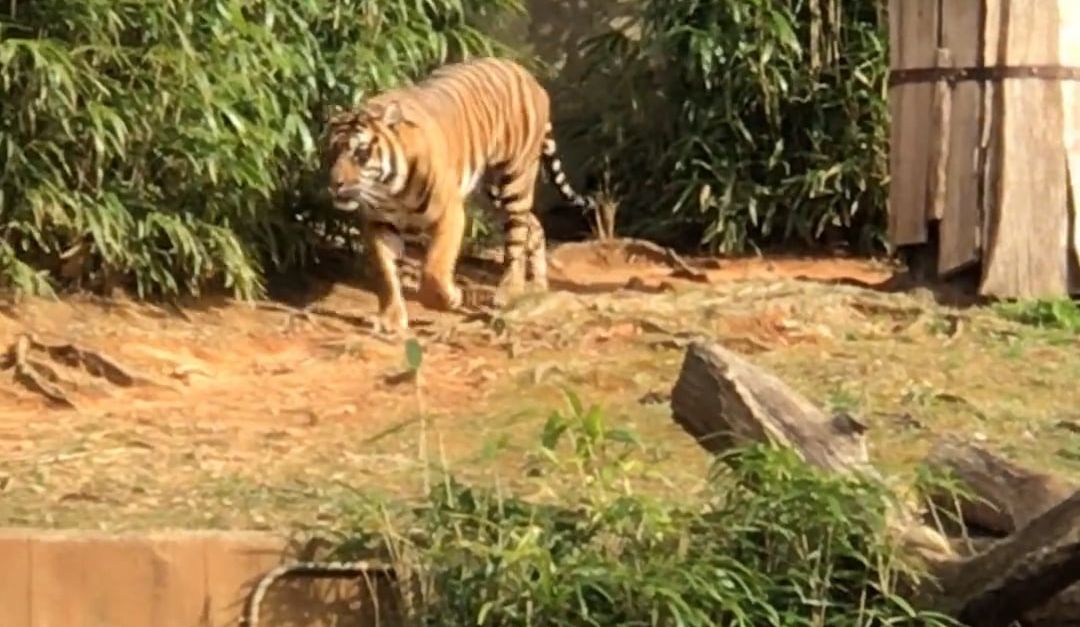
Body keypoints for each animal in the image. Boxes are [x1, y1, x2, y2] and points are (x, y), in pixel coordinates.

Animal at [324, 56, 596, 333]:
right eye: (331, 151)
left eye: (361, 153)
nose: (335, 184)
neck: (388, 189)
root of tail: (525, 73)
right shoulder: (379, 222)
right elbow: (386, 272)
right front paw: (391, 319)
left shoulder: (449, 212)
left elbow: (434, 266)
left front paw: (450, 298)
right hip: (492, 193)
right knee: (534, 225)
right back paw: (538, 286)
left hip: (514, 180)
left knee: (517, 237)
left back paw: (509, 291)